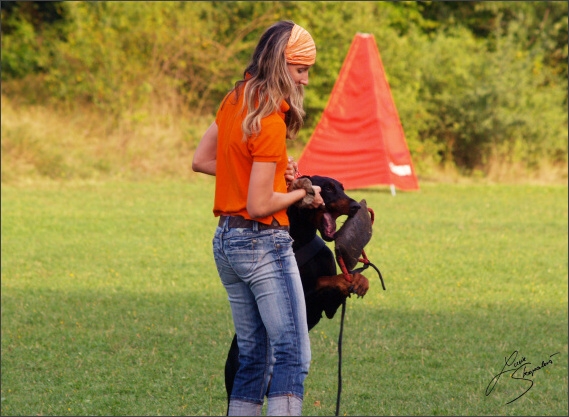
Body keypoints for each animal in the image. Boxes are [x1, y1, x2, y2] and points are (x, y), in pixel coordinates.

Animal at [222, 174, 368, 408]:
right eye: (328, 188)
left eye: (342, 188)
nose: (355, 206)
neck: (301, 239)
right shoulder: (301, 293)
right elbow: (322, 280)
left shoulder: (327, 309)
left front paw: (359, 279)